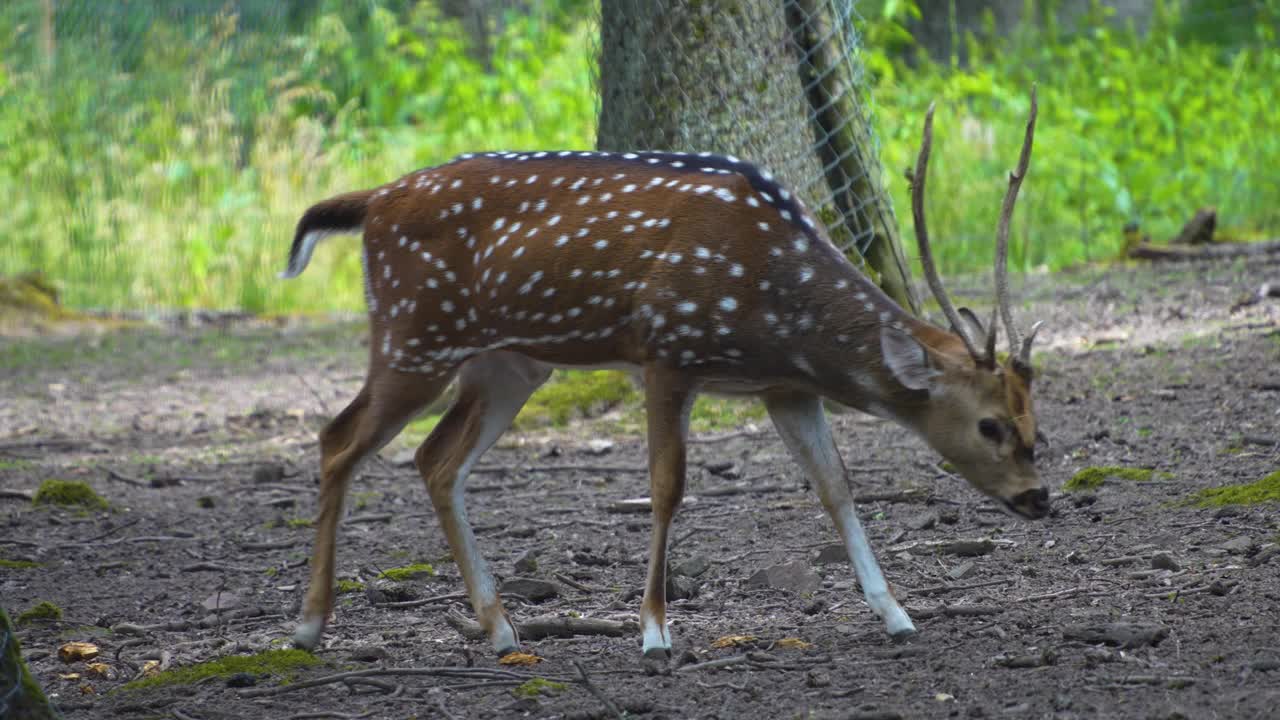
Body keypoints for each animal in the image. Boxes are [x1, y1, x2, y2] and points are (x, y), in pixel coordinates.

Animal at [285, 89, 1044, 655]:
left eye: (1036, 419)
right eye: (990, 425)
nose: (1039, 498)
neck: (775, 314)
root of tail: (373, 200)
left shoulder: (785, 386)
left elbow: (836, 486)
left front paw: (896, 615)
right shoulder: (666, 351)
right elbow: (667, 487)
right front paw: (654, 630)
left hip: (509, 365)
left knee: (436, 459)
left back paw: (501, 628)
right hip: (414, 334)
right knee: (338, 439)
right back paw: (309, 625)